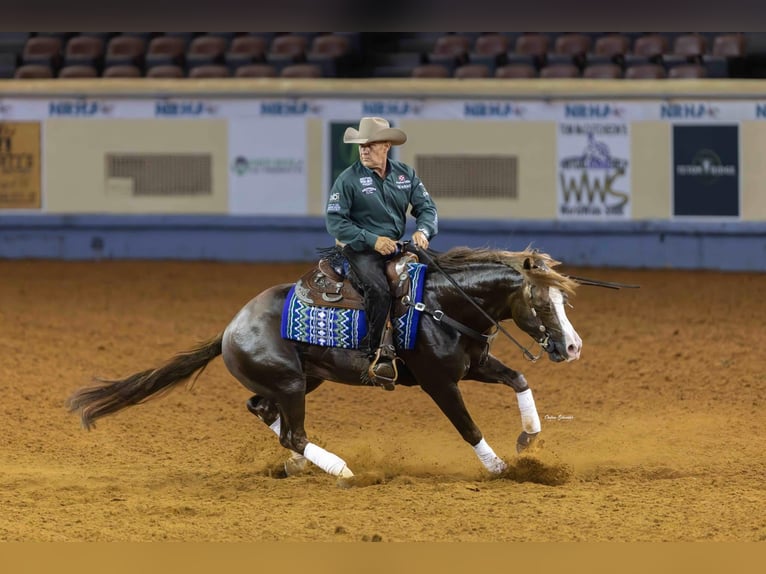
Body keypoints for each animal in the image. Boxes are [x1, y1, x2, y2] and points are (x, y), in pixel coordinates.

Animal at [66, 244, 587, 482]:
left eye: (565, 301)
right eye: (540, 303)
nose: (572, 348)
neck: (440, 303)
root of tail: (230, 328)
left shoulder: (476, 365)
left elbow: (519, 379)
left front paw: (527, 440)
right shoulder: (440, 382)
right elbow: (468, 426)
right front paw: (500, 468)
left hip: (301, 381)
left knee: (264, 412)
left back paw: (299, 466)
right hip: (291, 383)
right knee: (290, 429)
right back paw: (340, 470)